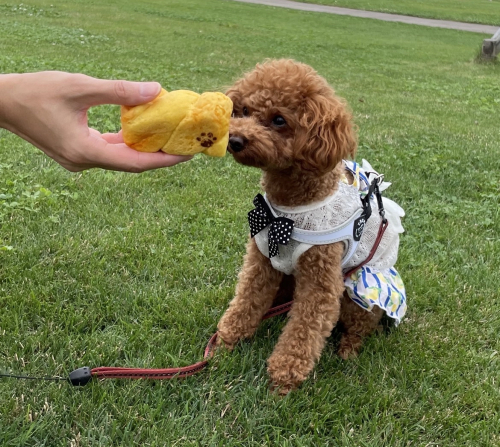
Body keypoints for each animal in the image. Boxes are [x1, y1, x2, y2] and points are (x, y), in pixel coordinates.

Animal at [217, 57, 404, 394]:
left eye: (279, 120)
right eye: (244, 110)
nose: (235, 140)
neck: (288, 211)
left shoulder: (321, 279)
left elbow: (305, 327)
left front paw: (284, 376)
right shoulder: (262, 260)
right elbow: (247, 298)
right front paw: (227, 339)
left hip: (358, 293)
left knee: (361, 327)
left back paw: (348, 350)